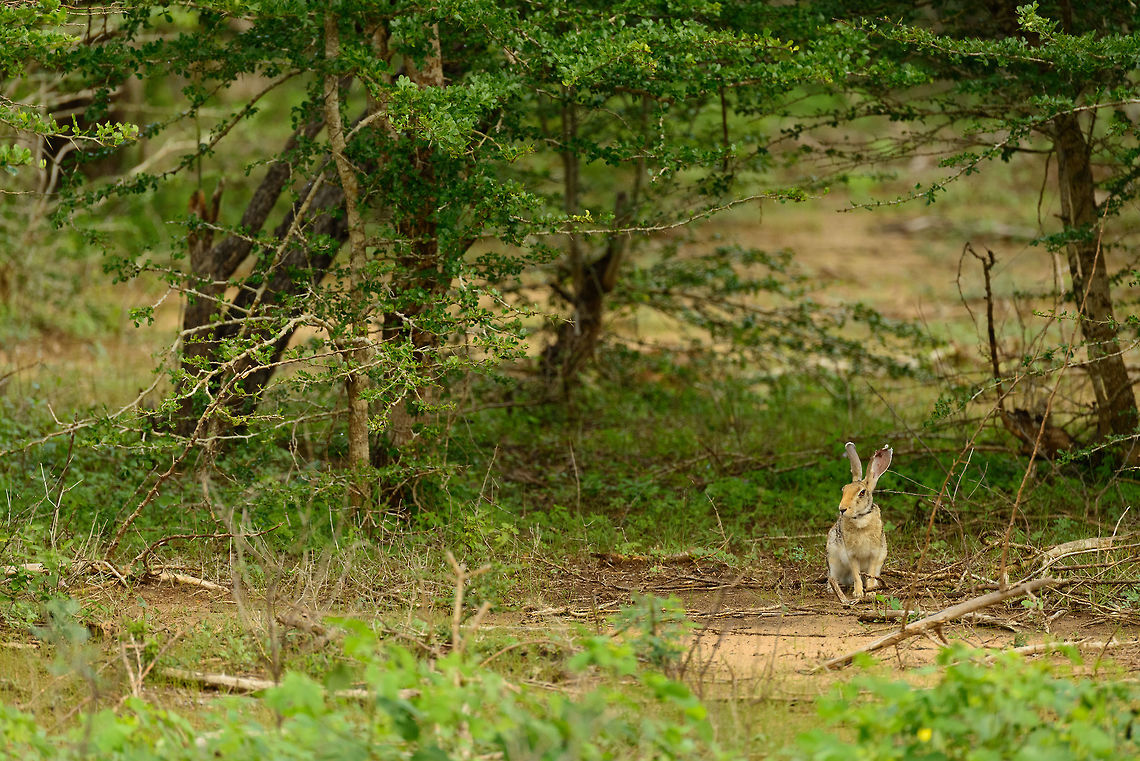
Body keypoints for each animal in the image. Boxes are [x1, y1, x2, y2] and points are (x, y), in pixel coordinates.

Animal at [826, 442, 892, 604]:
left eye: (862, 493)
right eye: (843, 490)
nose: (842, 509)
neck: (861, 518)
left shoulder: (875, 555)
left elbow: (870, 573)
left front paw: (870, 593)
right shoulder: (852, 555)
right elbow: (856, 574)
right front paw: (858, 593)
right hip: (833, 560)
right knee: (832, 576)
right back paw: (832, 589)